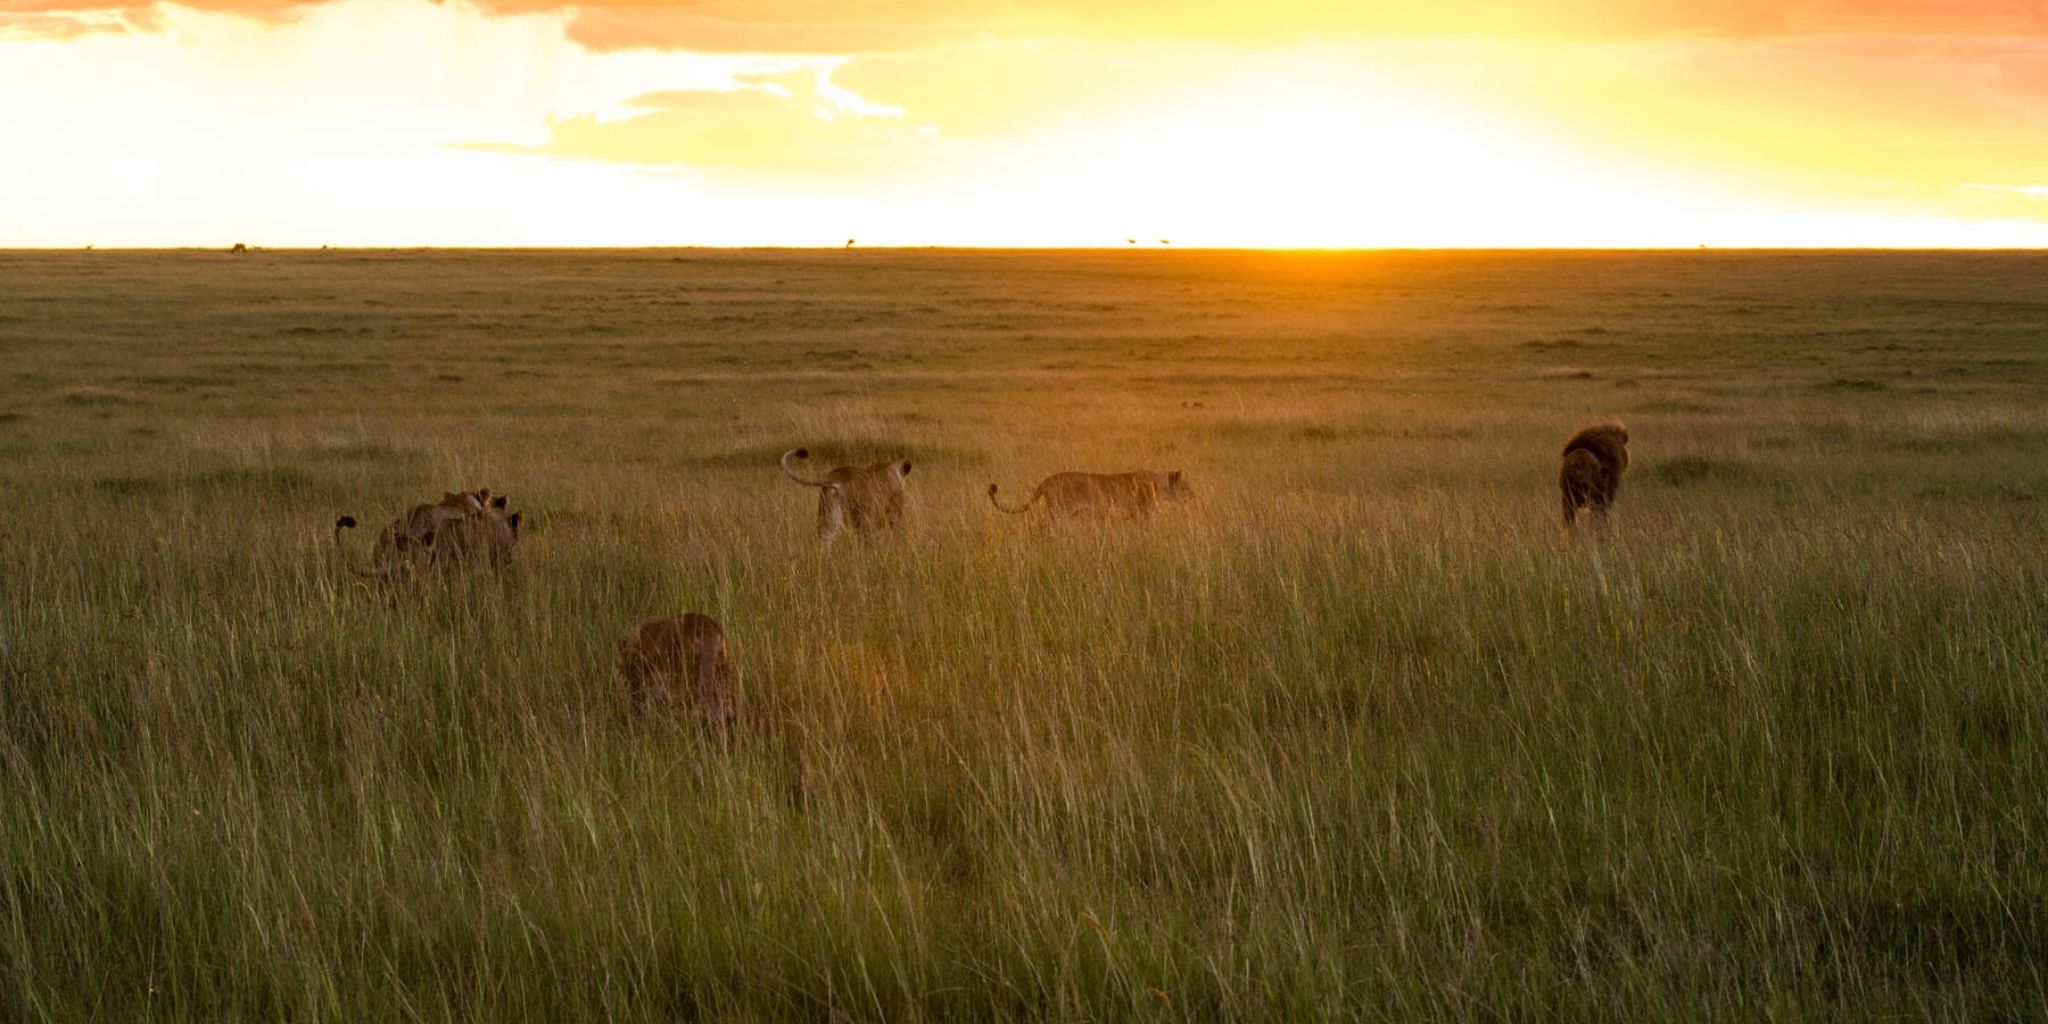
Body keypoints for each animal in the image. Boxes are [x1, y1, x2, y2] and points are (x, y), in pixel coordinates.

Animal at [779, 448, 911, 547]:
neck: (888, 470)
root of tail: (837, 476)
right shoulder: (894, 515)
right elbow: (895, 537)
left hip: (828, 516)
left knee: (824, 543)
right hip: (864, 520)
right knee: (865, 545)